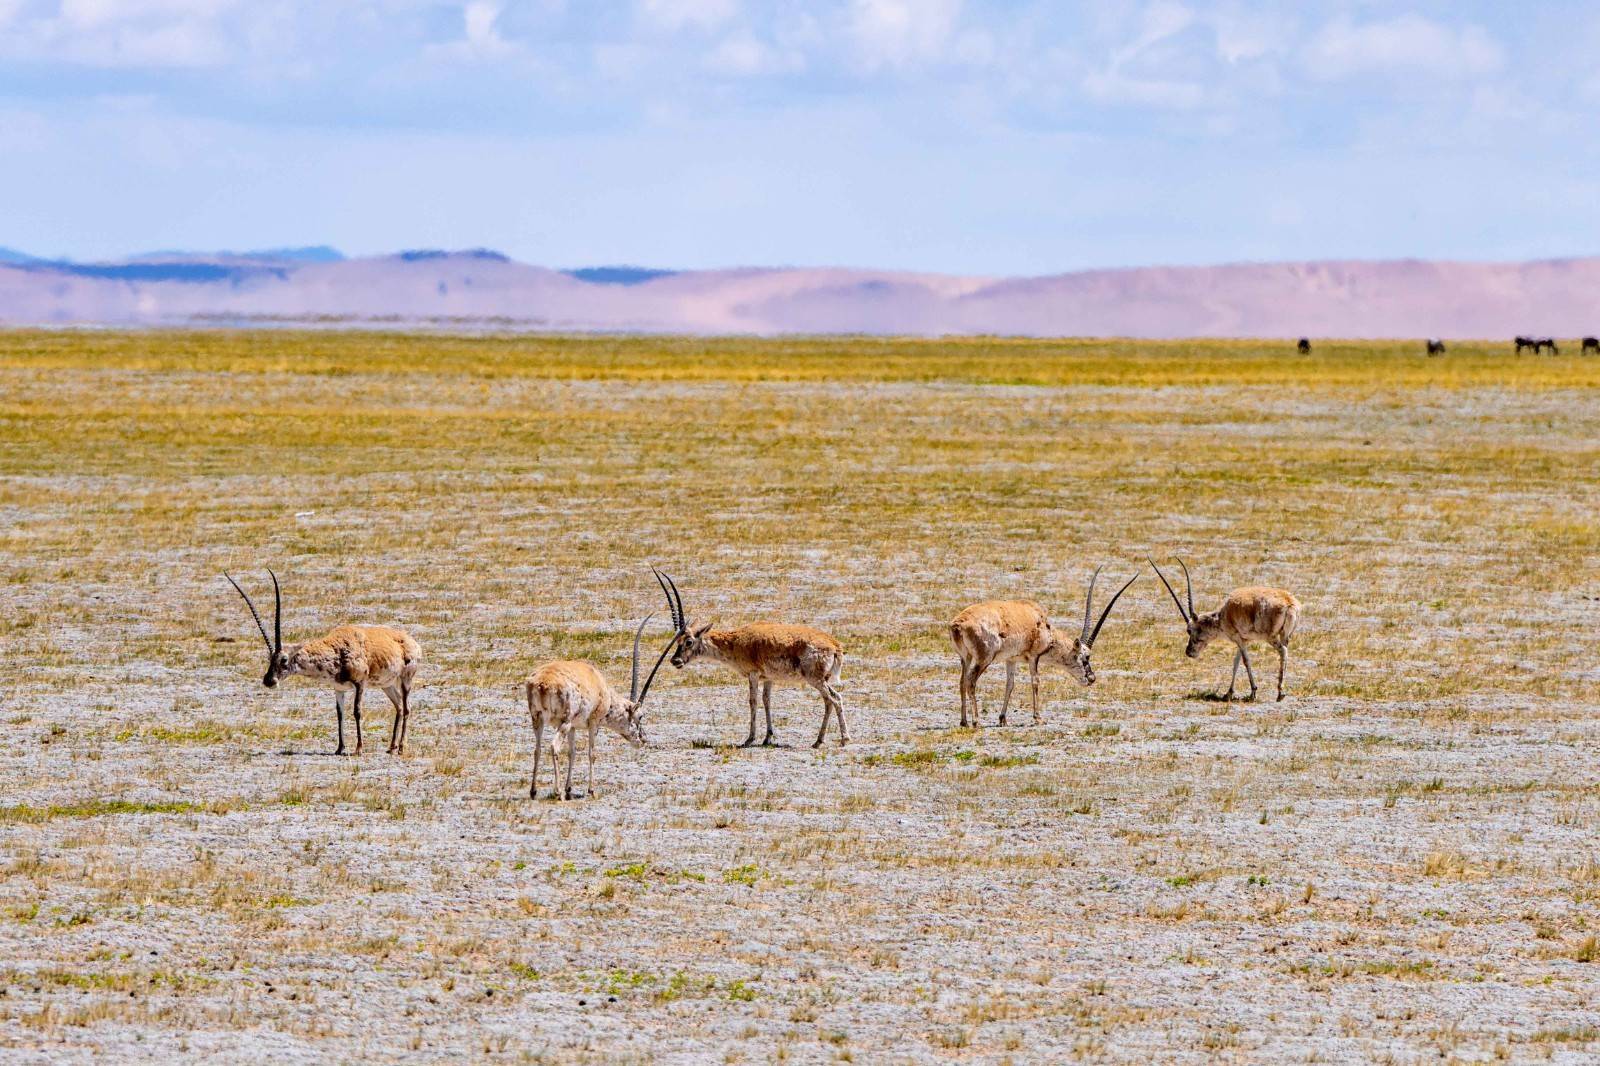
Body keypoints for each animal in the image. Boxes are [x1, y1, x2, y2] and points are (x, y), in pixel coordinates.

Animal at [228, 569, 425, 752]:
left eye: (283, 659)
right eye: (269, 658)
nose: (269, 680)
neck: (336, 649)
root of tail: (412, 643)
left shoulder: (360, 683)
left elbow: (357, 711)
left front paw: (359, 748)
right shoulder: (339, 688)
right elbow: (340, 714)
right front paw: (340, 748)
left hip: (405, 679)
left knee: (407, 707)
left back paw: (401, 747)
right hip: (387, 685)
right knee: (399, 706)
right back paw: (391, 747)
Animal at [521, 611, 672, 793]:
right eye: (641, 716)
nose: (643, 740)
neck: (602, 685)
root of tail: (543, 682)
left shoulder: (573, 727)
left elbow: (572, 752)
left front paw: (569, 788)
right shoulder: (593, 723)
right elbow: (591, 753)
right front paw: (590, 790)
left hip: (538, 719)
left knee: (537, 749)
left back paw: (533, 791)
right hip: (563, 722)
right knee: (553, 746)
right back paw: (557, 792)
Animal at [649, 563, 851, 745]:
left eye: (689, 641)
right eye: (677, 641)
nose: (675, 660)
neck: (735, 640)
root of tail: (834, 645)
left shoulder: (753, 675)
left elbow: (753, 701)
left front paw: (750, 738)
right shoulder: (768, 678)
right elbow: (767, 700)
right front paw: (767, 737)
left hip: (814, 679)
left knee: (834, 699)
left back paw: (840, 739)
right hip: (821, 679)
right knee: (831, 700)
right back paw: (820, 740)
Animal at [947, 560, 1139, 726]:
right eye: (1085, 656)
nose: (1091, 678)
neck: (1045, 626)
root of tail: (959, 623)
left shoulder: (1011, 659)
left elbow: (1010, 684)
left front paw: (1003, 719)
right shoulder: (1034, 657)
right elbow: (1035, 681)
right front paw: (1038, 718)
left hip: (965, 658)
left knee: (962, 681)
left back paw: (963, 721)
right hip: (983, 659)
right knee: (971, 681)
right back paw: (975, 721)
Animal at [1152, 557, 1299, 697]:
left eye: (1189, 630)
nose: (1189, 652)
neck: (1222, 616)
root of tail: (1289, 603)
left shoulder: (1238, 638)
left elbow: (1245, 661)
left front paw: (1253, 692)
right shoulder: (1244, 640)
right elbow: (1236, 662)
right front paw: (1229, 692)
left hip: (1271, 637)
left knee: (1283, 651)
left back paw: (1280, 692)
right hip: (1285, 636)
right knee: (1286, 653)